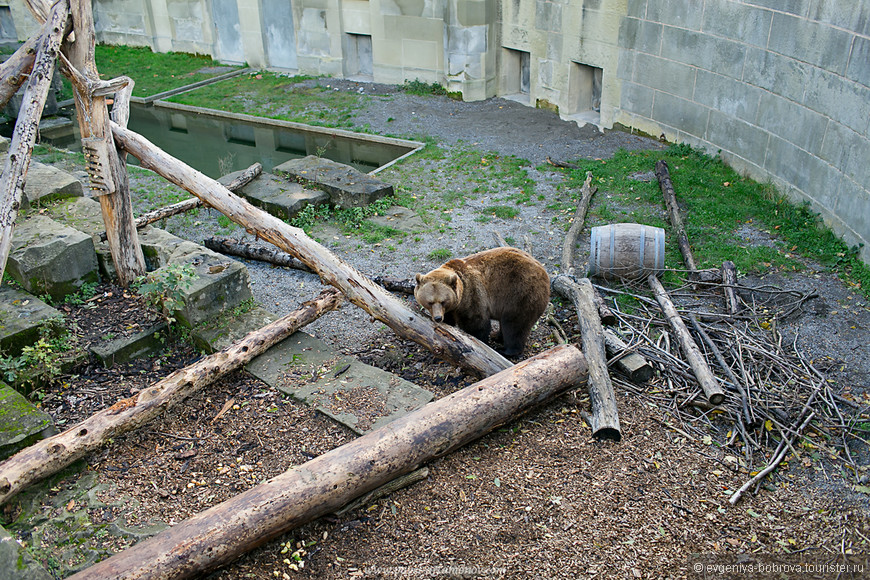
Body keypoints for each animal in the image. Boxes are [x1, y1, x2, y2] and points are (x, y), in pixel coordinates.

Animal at [416, 246, 552, 356]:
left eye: (443, 301)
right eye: (430, 302)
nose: (438, 318)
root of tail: (543, 270)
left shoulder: (472, 294)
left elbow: (476, 322)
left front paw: (478, 342)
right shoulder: (452, 306)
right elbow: (450, 319)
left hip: (520, 291)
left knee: (514, 323)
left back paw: (506, 350)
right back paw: (497, 336)